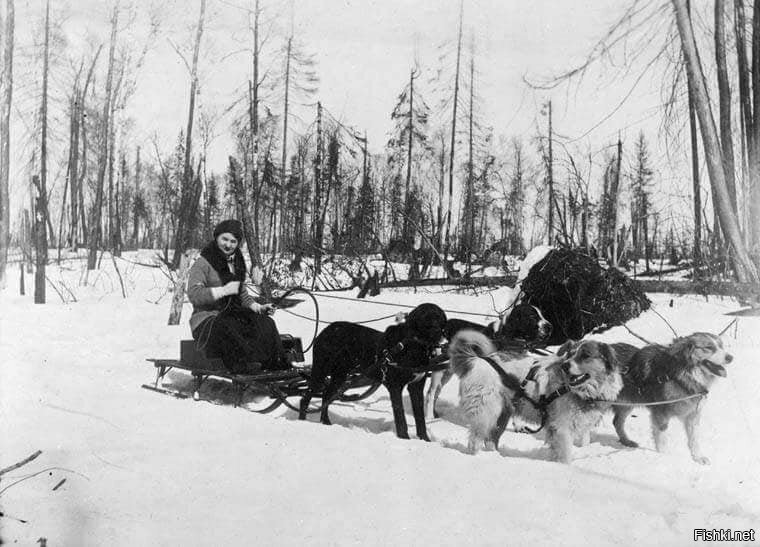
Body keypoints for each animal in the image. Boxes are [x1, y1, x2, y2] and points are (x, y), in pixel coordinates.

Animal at [448, 332, 632, 464]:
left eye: (585, 355)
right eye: (570, 354)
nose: (565, 366)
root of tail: (475, 360)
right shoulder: (562, 427)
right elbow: (565, 456)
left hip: (502, 415)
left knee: (491, 439)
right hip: (486, 412)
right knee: (475, 439)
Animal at [612, 332, 732, 464]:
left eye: (721, 346)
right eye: (709, 348)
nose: (730, 357)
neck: (683, 375)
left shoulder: (693, 415)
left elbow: (694, 439)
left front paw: (698, 457)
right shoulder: (660, 414)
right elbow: (662, 440)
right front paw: (665, 458)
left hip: (627, 404)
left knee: (617, 422)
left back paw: (626, 441)